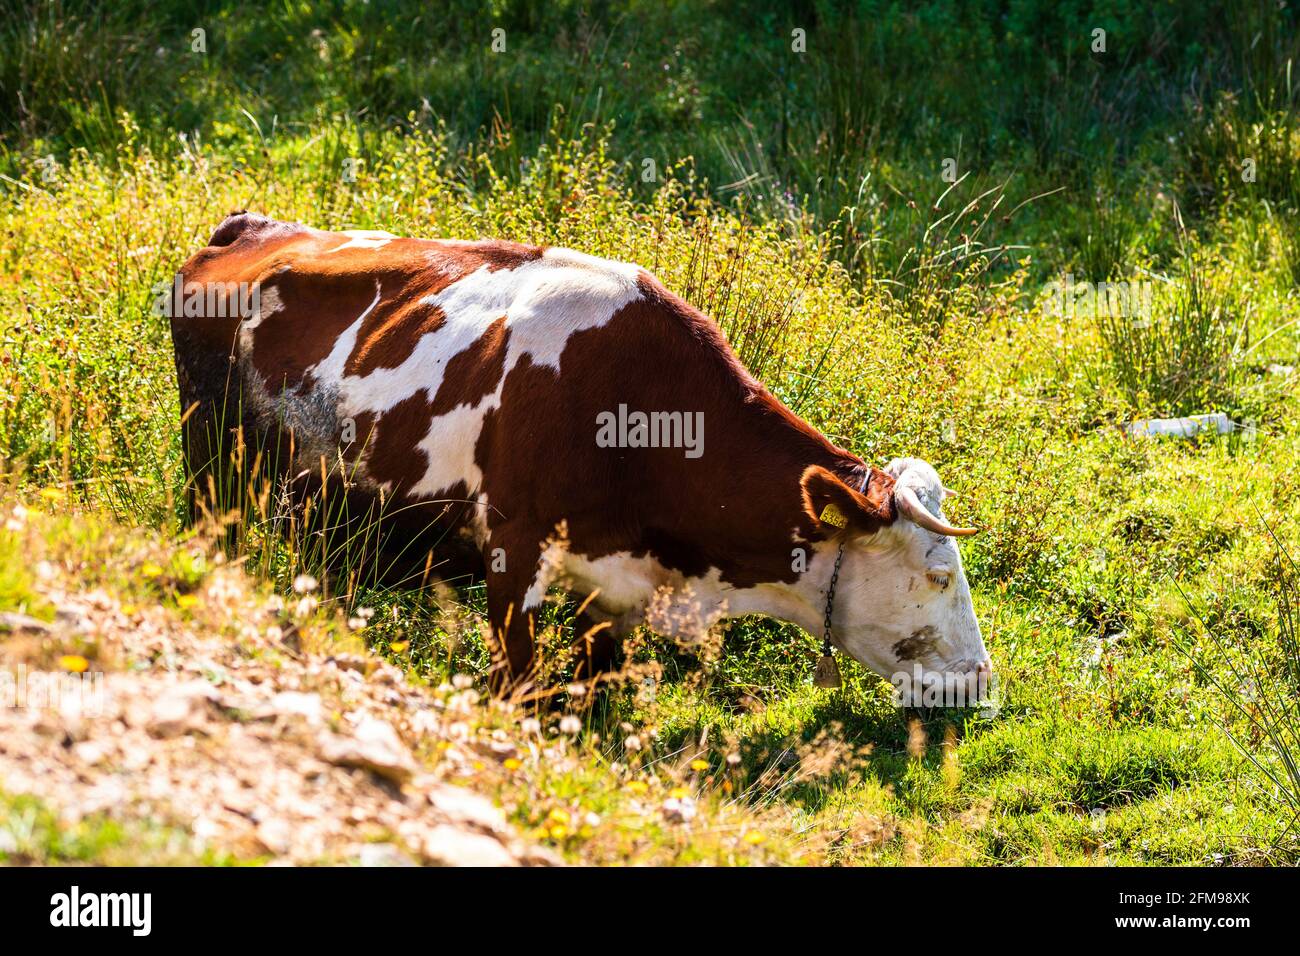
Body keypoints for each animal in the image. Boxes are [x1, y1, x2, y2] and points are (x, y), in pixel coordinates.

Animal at [171, 211, 991, 701]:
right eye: (938, 574)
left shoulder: (616, 597)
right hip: (215, 475)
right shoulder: (513, 553)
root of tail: (251, 227)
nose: (980, 678)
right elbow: (521, 688)